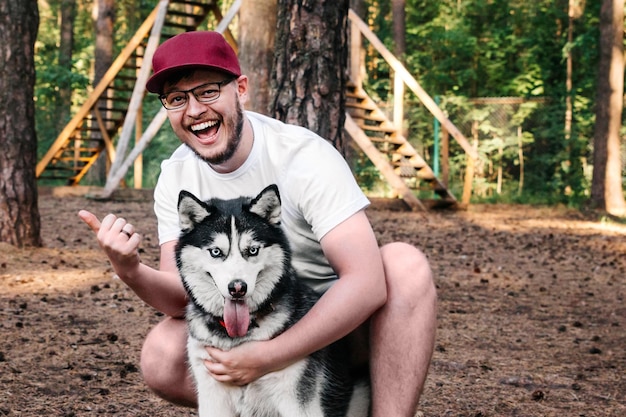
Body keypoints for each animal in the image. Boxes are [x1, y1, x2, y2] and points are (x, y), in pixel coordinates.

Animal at [174, 185, 370, 416]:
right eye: (216, 252)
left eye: (252, 250)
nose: (237, 288)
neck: (238, 336)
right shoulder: (213, 397)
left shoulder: (299, 403)